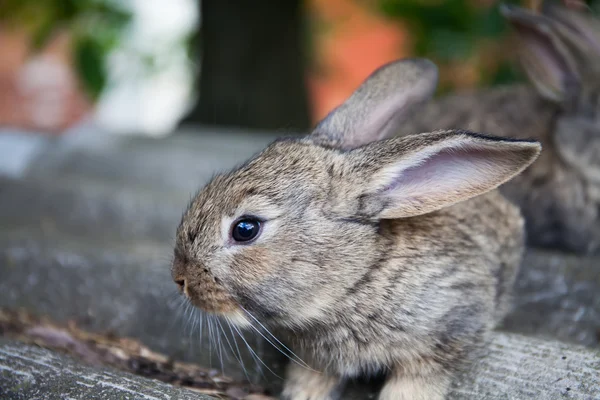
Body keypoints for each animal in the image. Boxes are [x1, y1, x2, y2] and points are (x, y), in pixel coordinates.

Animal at [172, 57, 540, 398]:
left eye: (245, 229)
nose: (180, 279)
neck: (359, 277)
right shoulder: (317, 359)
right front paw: (302, 394)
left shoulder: (448, 331)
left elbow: (417, 379)